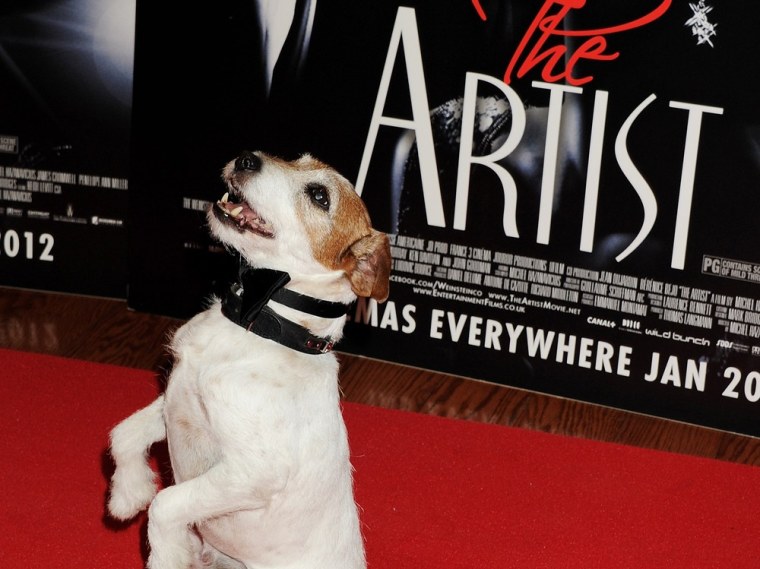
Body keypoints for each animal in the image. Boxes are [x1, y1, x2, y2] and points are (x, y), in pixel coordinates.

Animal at [108, 151, 392, 568]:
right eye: (297, 159)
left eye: (320, 196)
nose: (246, 158)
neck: (256, 322)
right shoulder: (174, 401)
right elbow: (123, 435)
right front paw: (127, 494)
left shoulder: (252, 473)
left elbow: (164, 505)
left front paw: (167, 553)